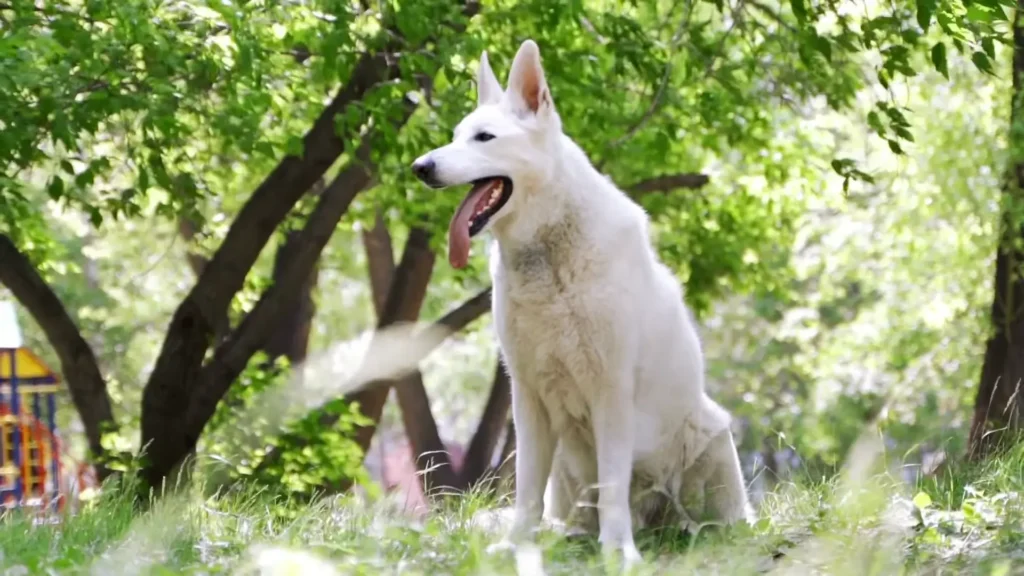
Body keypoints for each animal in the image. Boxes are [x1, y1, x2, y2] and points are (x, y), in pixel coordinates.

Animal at [409, 39, 753, 561]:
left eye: (484, 138)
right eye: (454, 137)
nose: (421, 168)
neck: (549, 256)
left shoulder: (610, 390)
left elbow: (612, 484)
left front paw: (620, 554)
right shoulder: (526, 396)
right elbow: (526, 491)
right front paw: (515, 546)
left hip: (711, 433)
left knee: (716, 517)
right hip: (565, 465)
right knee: (566, 514)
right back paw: (570, 535)